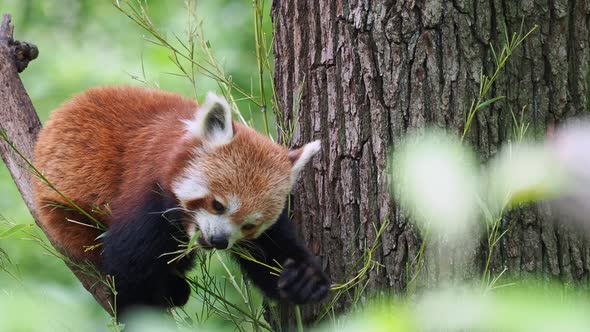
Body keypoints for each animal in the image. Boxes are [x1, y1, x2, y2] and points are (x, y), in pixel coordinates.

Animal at [32, 86, 330, 314]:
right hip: (66, 210)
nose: (219, 241)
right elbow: (129, 266)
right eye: (217, 205)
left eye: (249, 225)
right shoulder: (146, 196)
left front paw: (303, 279)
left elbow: (271, 250)